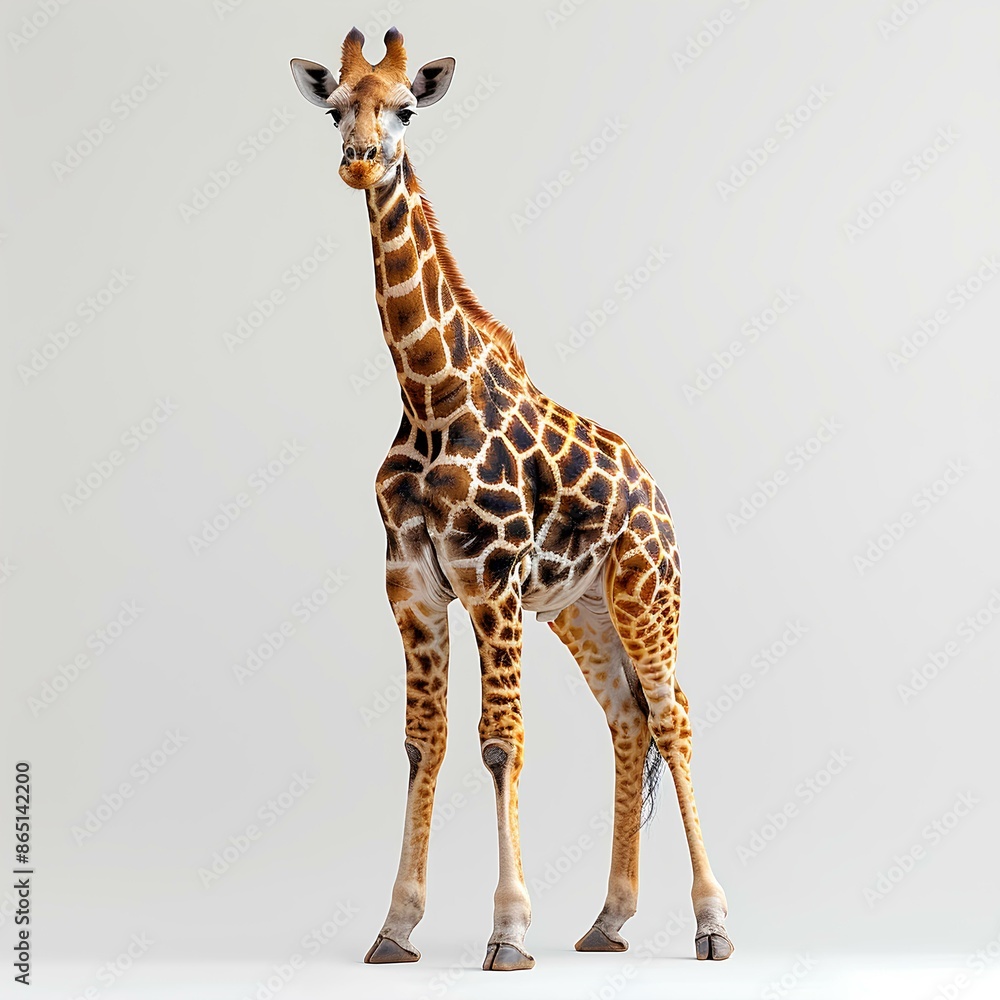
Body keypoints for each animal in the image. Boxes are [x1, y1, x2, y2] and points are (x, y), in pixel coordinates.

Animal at [290, 27, 734, 972]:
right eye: (338, 107)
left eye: (407, 109)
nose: (359, 162)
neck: (431, 395)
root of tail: (657, 492)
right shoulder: (413, 588)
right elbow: (422, 742)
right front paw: (395, 928)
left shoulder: (491, 583)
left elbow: (500, 742)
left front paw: (509, 931)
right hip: (580, 610)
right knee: (627, 719)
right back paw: (608, 921)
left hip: (647, 595)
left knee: (673, 714)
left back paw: (713, 924)